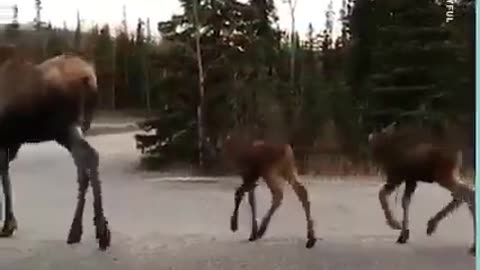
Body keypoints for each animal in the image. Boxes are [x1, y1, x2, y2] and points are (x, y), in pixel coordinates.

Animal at [0, 45, 110, 250]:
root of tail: (89, 78)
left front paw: (7, 224)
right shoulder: (11, 142)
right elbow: (5, 177)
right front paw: (10, 224)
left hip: (63, 127)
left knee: (87, 157)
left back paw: (92, 231)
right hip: (76, 127)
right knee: (86, 163)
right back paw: (87, 231)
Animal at [368, 122, 476, 255]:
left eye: (375, 142)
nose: (374, 160)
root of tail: (458, 155)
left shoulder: (396, 177)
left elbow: (382, 194)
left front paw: (395, 224)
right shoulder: (410, 180)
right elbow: (405, 202)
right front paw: (404, 234)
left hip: (443, 175)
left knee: (468, 194)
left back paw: (472, 245)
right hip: (452, 174)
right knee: (463, 194)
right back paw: (433, 225)